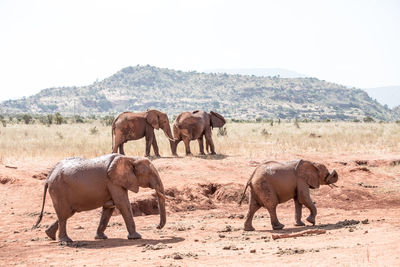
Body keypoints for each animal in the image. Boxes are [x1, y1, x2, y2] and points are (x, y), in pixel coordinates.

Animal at [31, 154, 167, 244]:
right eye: (150, 174)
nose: (157, 227)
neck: (130, 158)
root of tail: (48, 177)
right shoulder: (113, 182)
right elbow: (123, 204)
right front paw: (137, 237)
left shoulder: (113, 183)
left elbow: (109, 206)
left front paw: (101, 237)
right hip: (58, 190)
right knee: (64, 214)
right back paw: (66, 242)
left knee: (66, 213)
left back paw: (50, 235)